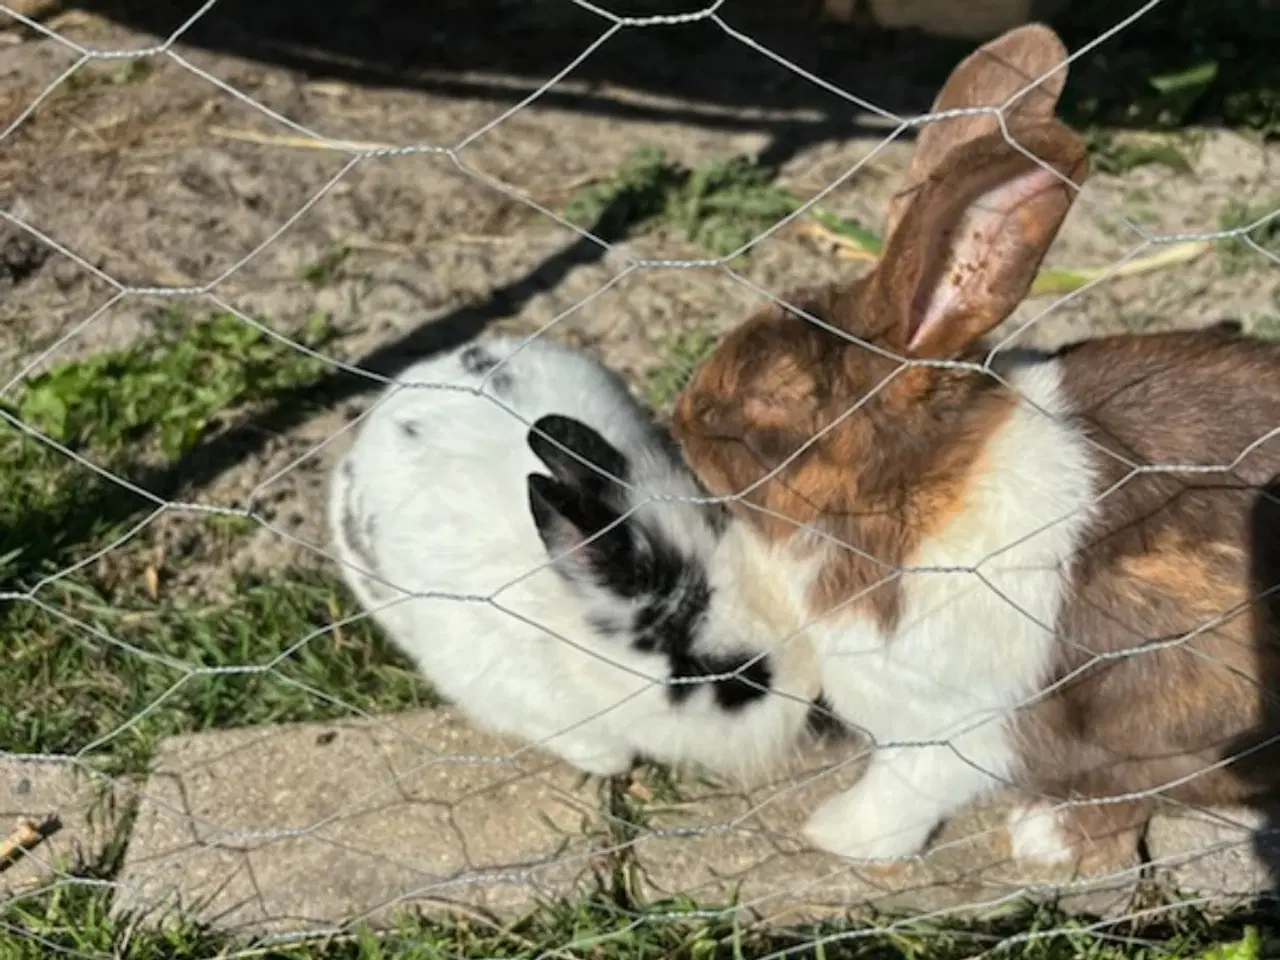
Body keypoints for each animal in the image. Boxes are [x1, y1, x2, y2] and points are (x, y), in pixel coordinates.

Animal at [665, 22, 1280, 875]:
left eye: (776, 394)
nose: (681, 417)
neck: (906, 490)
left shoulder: (952, 731)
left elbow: (902, 791)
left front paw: (838, 836)